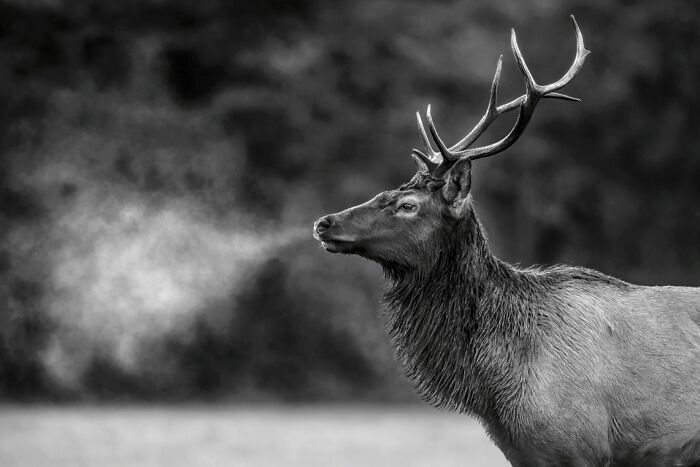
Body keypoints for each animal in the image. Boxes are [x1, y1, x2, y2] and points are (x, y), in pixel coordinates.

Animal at [313, 16, 700, 467]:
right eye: (386, 192)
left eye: (408, 205)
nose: (323, 223)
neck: (498, 390)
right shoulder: (521, 452)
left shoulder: (582, 445)